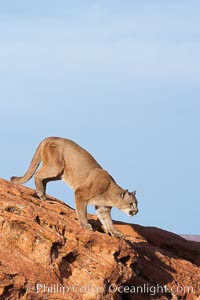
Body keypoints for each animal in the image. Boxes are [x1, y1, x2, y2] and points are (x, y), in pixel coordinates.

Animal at [10, 137, 138, 238]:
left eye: (137, 204)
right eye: (131, 203)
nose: (137, 211)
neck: (110, 194)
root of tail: (51, 137)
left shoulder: (103, 209)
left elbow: (108, 222)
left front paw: (115, 233)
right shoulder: (80, 193)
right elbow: (82, 212)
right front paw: (85, 225)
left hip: (59, 173)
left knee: (44, 179)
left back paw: (43, 195)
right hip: (56, 167)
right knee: (37, 174)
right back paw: (41, 194)